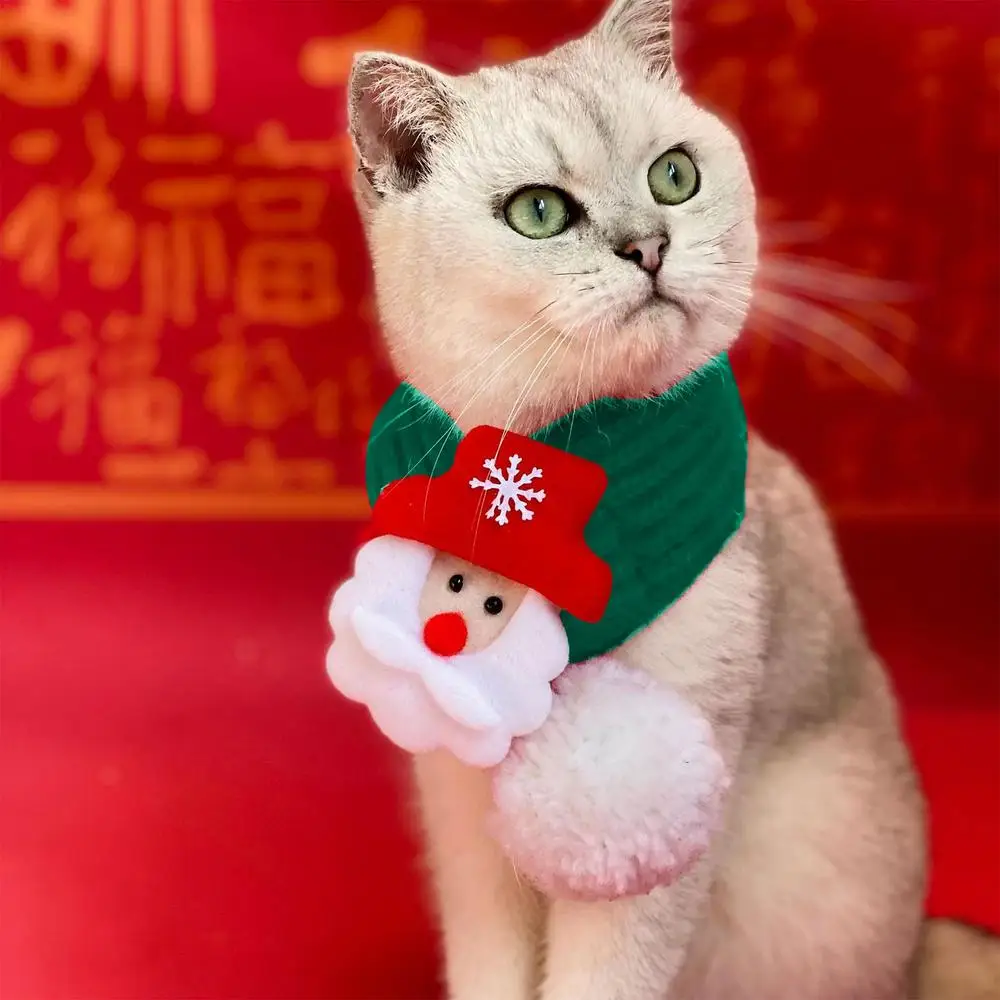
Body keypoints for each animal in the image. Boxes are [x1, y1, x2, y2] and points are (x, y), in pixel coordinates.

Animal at [345, 0, 999, 997]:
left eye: (675, 176)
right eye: (539, 212)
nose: (648, 246)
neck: (542, 495)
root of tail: (919, 952)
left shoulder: (666, 812)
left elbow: (602, 980)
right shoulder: (465, 817)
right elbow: (490, 966)